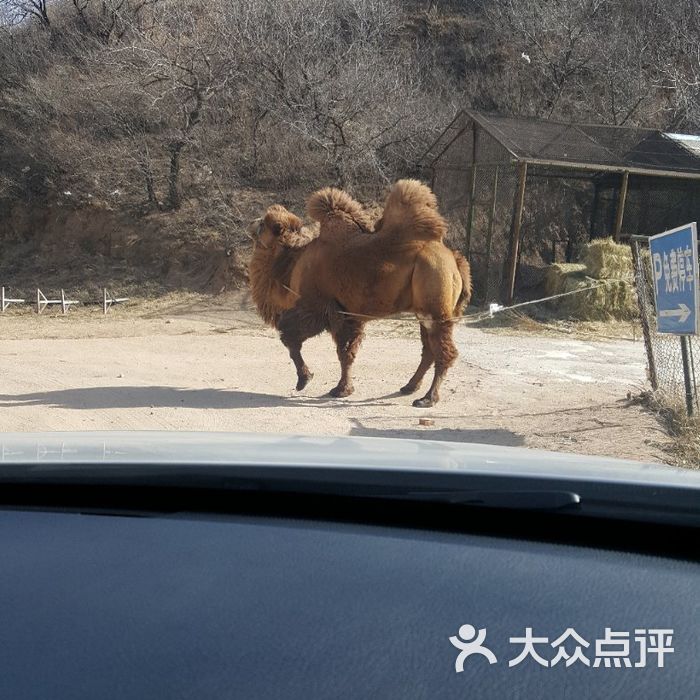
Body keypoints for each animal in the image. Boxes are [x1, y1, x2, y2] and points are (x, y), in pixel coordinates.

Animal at [246, 180, 470, 408]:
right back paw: (409, 387)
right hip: (423, 310)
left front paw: (305, 380)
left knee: (444, 351)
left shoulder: (317, 309)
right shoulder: (349, 315)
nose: (251, 223)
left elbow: (291, 340)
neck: (292, 263)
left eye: (263, 223)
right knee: (429, 350)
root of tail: (455, 259)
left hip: (435, 294)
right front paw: (343, 389)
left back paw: (427, 398)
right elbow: (347, 353)